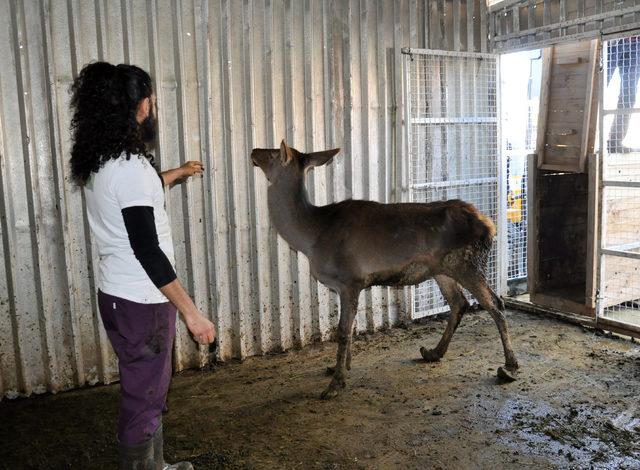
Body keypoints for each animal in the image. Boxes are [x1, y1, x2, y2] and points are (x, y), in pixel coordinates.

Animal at [250, 141, 520, 398]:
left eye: (273, 153)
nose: (253, 151)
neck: (311, 237)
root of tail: (489, 226)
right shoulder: (345, 286)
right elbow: (350, 327)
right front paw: (341, 367)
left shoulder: (350, 279)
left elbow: (343, 331)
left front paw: (335, 384)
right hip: (443, 269)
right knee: (459, 303)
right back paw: (434, 352)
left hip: (468, 263)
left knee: (495, 303)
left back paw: (510, 366)